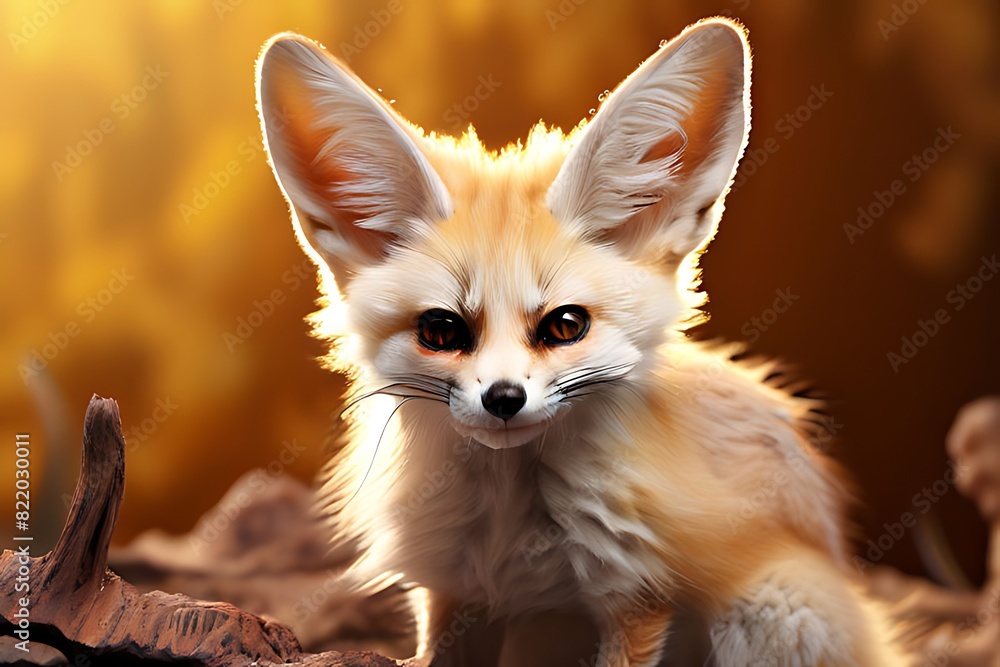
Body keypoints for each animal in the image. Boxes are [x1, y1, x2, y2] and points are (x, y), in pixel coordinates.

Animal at [256, 17, 908, 667]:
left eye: (566, 326)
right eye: (441, 331)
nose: (503, 398)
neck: (508, 522)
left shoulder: (637, 595)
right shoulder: (451, 586)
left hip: (772, 613)